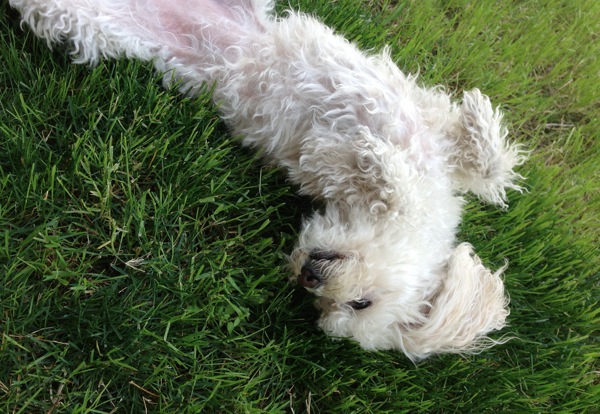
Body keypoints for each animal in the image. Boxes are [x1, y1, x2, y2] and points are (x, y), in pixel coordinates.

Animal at [10, 0, 524, 360]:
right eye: (362, 304)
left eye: (347, 309)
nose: (308, 276)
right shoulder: (424, 136)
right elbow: (479, 167)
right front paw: (476, 117)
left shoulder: (315, 156)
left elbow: (388, 181)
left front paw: (382, 160)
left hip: (90, 24)